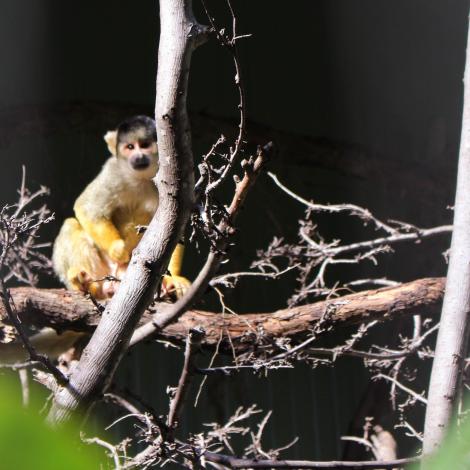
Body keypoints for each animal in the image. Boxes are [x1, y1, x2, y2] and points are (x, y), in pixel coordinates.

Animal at [52, 117, 189, 300]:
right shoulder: (113, 171)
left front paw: (175, 278)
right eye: (130, 147)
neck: (142, 177)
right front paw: (118, 249)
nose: (138, 157)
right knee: (70, 225)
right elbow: (87, 208)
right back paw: (85, 284)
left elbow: (174, 231)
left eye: (144, 145)